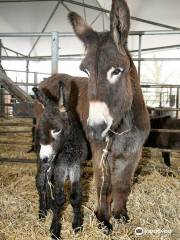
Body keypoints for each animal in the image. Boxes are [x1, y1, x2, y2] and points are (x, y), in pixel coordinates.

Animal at [33, 81, 88, 239]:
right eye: (41, 130)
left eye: (56, 130)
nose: (45, 158)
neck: (68, 149)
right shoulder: (60, 169)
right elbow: (59, 199)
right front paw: (55, 230)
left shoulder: (76, 167)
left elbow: (76, 197)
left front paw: (77, 226)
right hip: (44, 166)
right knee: (41, 184)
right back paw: (42, 212)